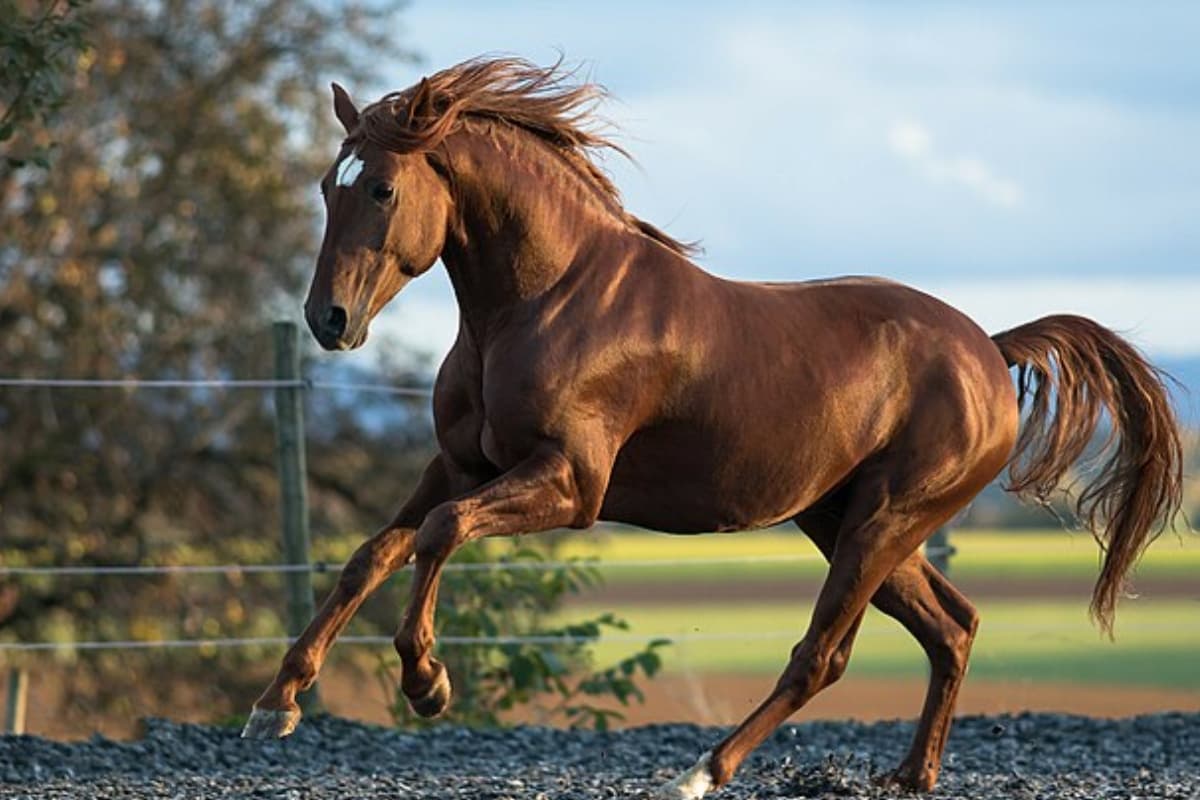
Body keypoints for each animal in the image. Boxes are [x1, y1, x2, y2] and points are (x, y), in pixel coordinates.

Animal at [241, 57, 1183, 798]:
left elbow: (438, 535)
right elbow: (373, 553)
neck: (544, 301)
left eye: (383, 188)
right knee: (952, 627)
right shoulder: (459, 465)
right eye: (326, 186)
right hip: (847, 519)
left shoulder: (570, 485)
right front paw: (275, 704)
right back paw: (911, 776)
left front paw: (428, 683)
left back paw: (699, 772)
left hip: (883, 521)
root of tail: (989, 349)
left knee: (824, 655)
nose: (328, 320)